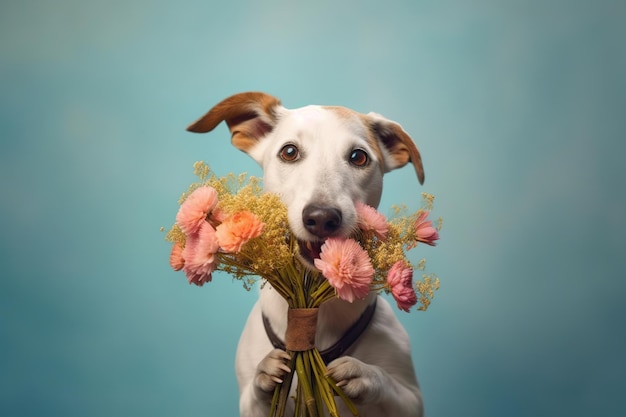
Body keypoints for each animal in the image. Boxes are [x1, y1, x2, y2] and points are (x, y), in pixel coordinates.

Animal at [188, 92, 424, 416]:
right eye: (289, 152)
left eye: (358, 157)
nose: (322, 217)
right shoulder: (249, 404)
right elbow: (259, 390)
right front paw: (265, 376)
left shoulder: (411, 398)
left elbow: (385, 383)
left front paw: (363, 374)